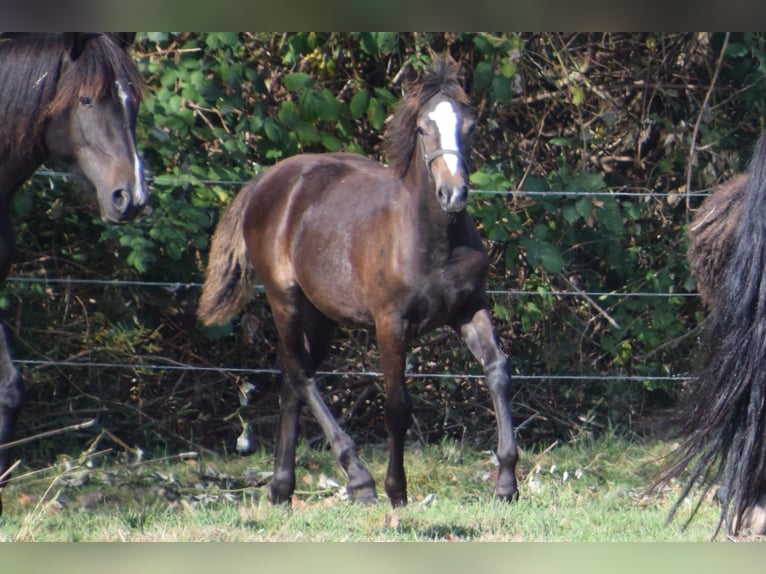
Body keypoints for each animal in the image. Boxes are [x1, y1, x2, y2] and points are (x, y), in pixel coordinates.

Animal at [201, 58, 520, 508]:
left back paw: (282, 487)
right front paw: (396, 490)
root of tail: (267, 180)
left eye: (471, 126)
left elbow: (499, 373)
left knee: (292, 380)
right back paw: (358, 479)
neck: (431, 241)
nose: (453, 194)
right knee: (301, 374)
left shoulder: (470, 309)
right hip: (285, 299)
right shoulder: (390, 323)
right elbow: (397, 404)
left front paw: (506, 482)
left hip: (320, 313)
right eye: (422, 128)